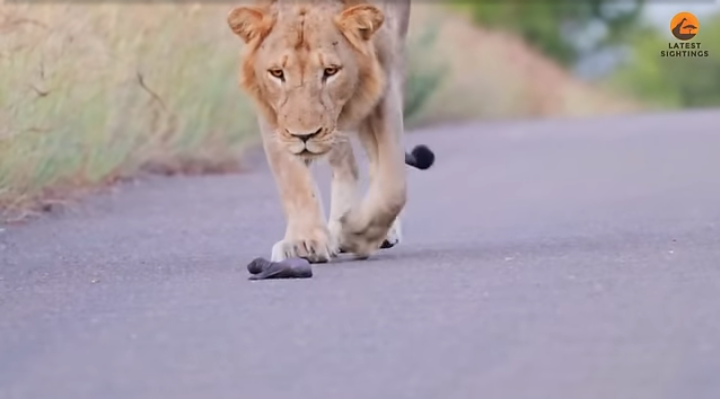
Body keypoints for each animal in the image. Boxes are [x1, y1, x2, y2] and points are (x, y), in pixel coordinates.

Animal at [228, 0, 436, 264]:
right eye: (277, 73)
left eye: (330, 71)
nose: (303, 136)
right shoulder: (272, 111)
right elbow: (293, 178)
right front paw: (303, 242)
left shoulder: (383, 73)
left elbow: (393, 185)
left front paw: (357, 235)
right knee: (344, 162)